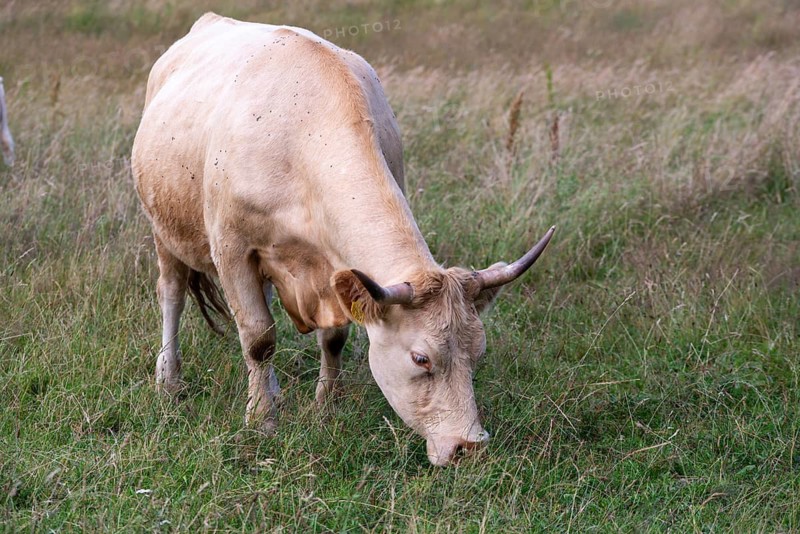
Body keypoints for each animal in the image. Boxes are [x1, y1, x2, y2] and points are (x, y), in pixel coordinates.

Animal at [131, 13, 554, 466]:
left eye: (479, 352)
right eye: (421, 358)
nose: (468, 446)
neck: (303, 137)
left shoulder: (339, 272)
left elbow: (333, 338)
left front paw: (325, 406)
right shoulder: (232, 249)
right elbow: (259, 337)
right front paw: (262, 420)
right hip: (163, 229)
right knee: (172, 294)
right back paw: (169, 381)